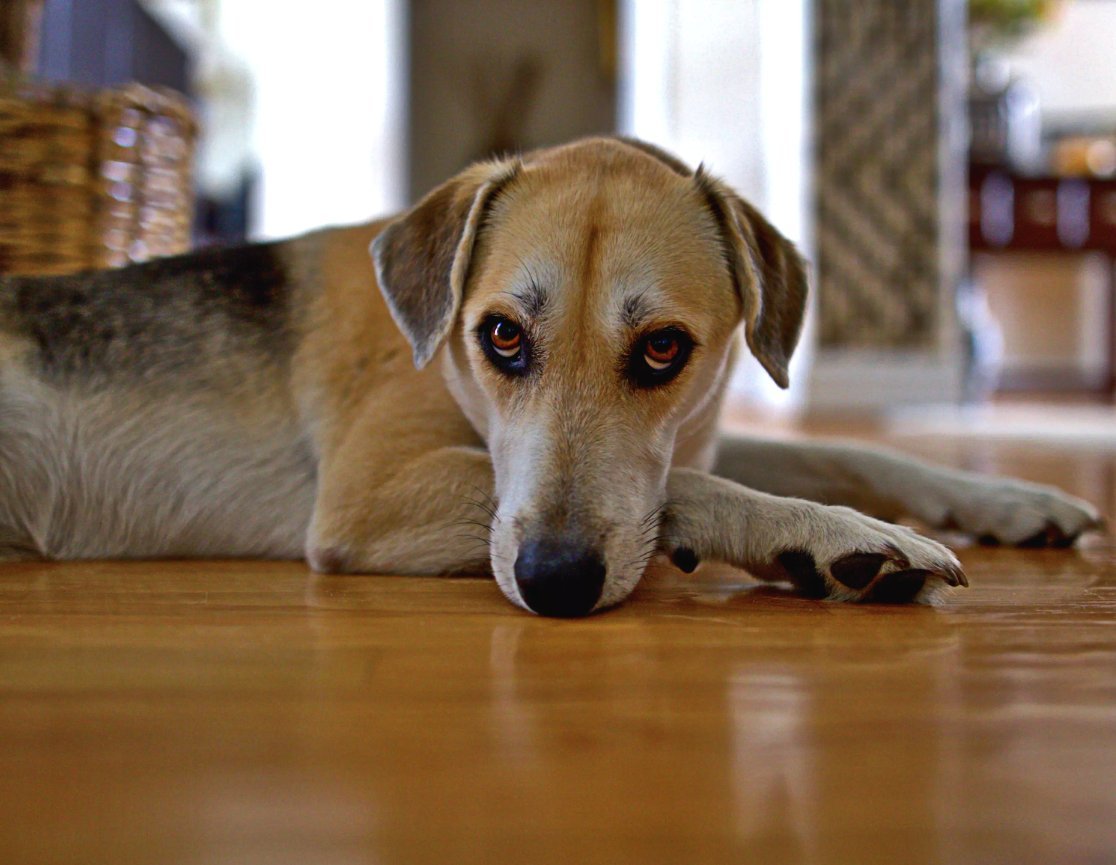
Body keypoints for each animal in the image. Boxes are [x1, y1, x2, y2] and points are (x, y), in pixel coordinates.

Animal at [0, 137, 1098, 616]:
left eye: (663, 349)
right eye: (499, 337)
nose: (556, 582)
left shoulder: (698, 418)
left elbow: (846, 452)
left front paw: (1009, 499)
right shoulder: (368, 493)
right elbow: (692, 484)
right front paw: (833, 540)